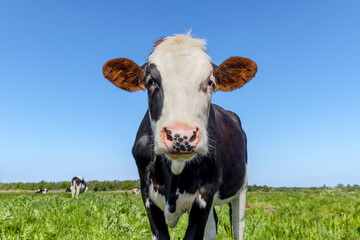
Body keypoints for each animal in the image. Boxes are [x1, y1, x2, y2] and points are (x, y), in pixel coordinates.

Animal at [102, 33, 258, 240]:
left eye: (210, 82)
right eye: (150, 82)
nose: (180, 135)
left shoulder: (206, 193)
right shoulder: (146, 194)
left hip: (242, 187)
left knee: (238, 225)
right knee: (212, 227)